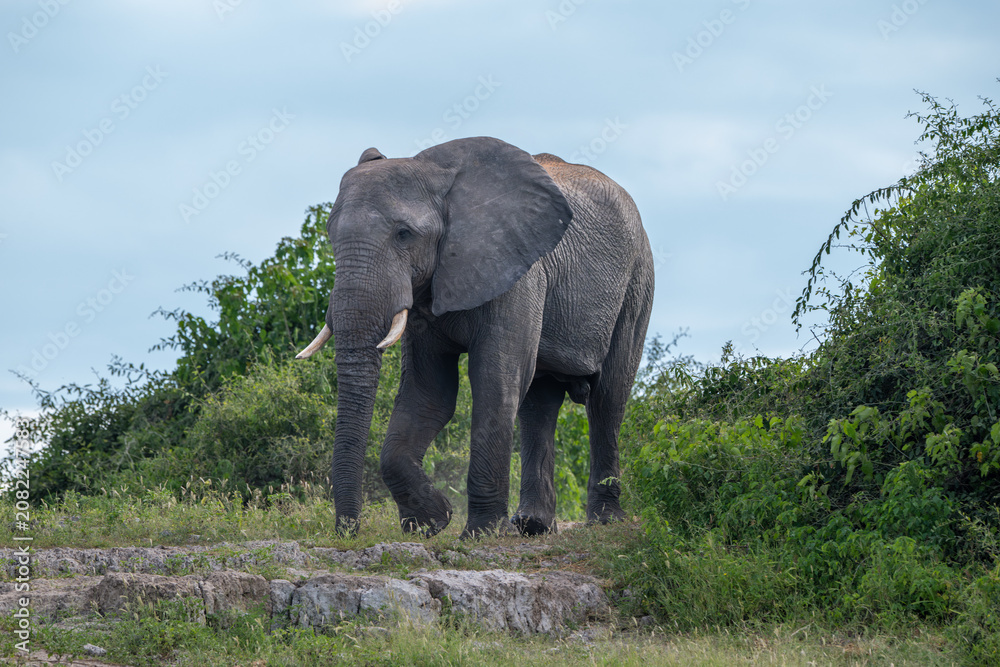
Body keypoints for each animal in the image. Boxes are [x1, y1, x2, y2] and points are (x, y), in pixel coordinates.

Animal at [296, 136, 654, 538]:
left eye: (404, 234)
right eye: (330, 235)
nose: (348, 531)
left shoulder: (518, 273)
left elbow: (495, 382)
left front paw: (479, 533)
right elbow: (429, 393)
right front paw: (431, 522)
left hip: (637, 282)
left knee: (608, 397)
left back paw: (604, 521)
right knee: (539, 403)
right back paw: (532, 525)